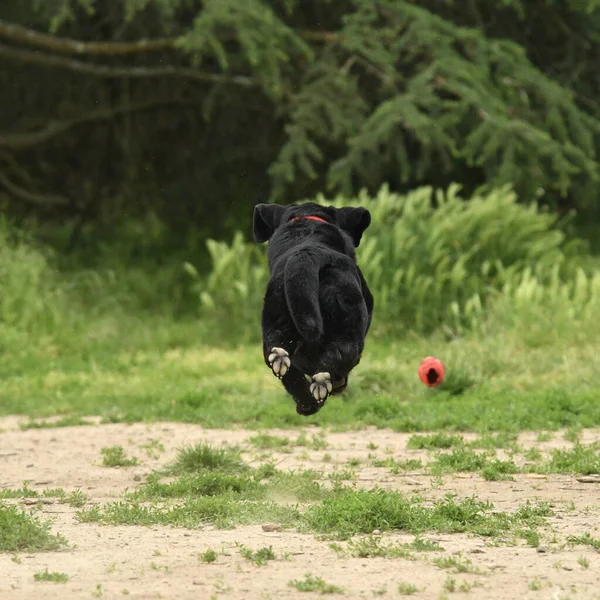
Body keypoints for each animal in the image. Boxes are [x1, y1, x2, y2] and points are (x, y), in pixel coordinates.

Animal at [253, 202, 376, 418]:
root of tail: (306, 254)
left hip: (275, 317)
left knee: (284, 365)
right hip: (350, 332)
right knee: (337, 356)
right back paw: (320, 386)